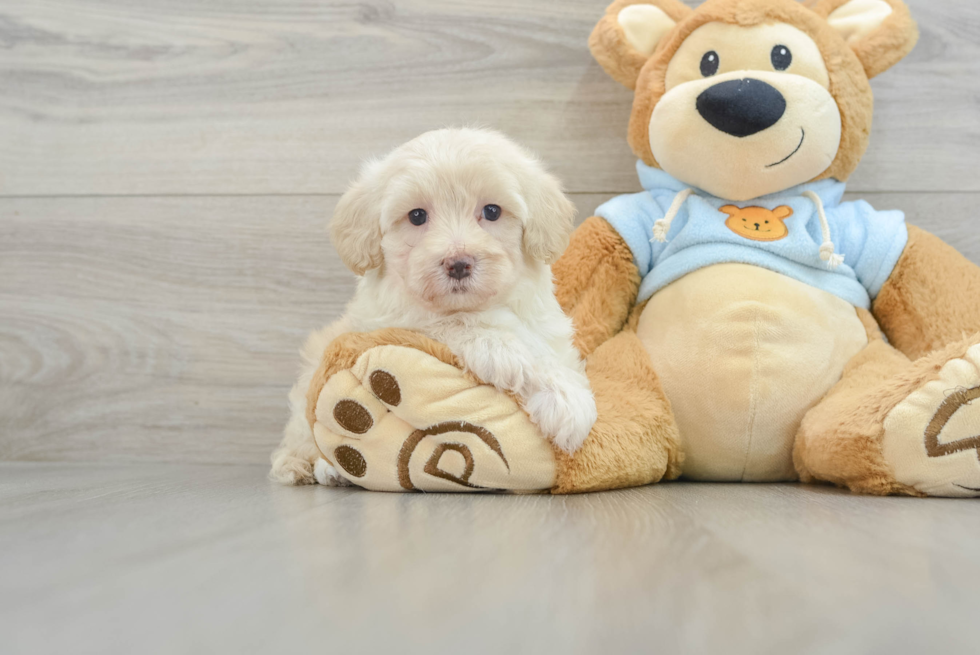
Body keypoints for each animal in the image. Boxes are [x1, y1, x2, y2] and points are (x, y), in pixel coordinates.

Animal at [268, 129, 596, 486]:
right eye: (417, 216)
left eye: (492, 211)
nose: (458, 263)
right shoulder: (398, 321)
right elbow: (473, 330)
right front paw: (551, 392)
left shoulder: (547, 329)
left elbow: (550, 356)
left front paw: (566, 398)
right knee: (301, 435)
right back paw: (314, 466)